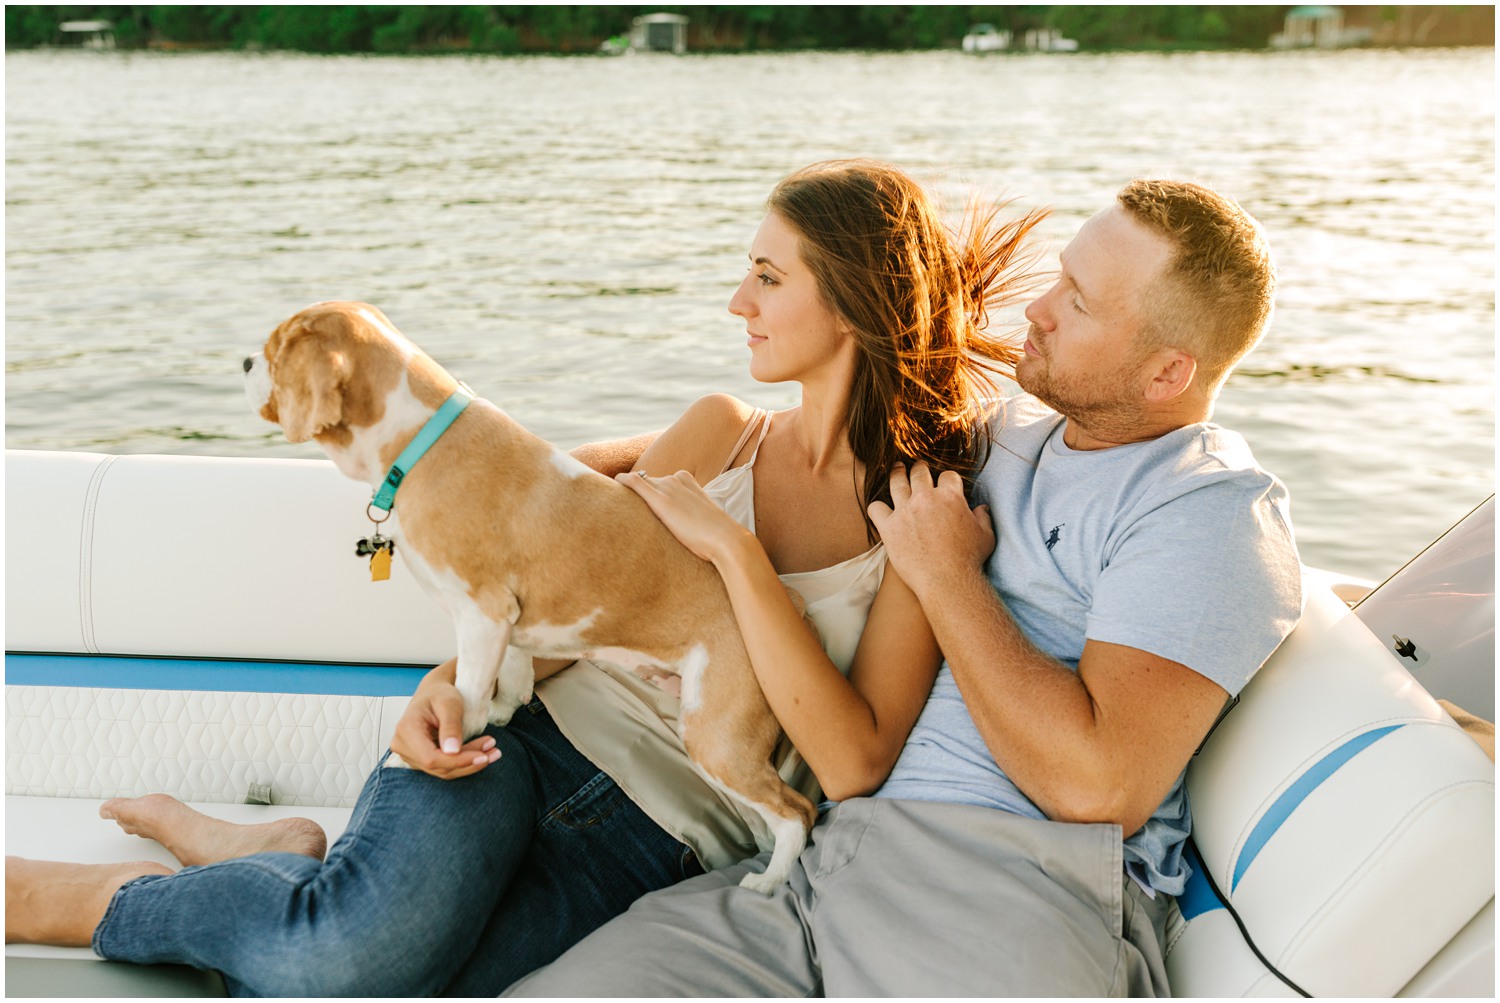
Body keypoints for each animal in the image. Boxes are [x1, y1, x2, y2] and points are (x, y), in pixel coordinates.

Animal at [244, 299, 816, 893]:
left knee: (796, 813)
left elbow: (469, 695)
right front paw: (498, 716)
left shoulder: (481, 615)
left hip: (714, 737)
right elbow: (511, 682)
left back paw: (770, 880)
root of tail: (793, 613)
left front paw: (443, 749)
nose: (243, 363)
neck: (423, 438)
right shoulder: (511, 625)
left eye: (273, 351)